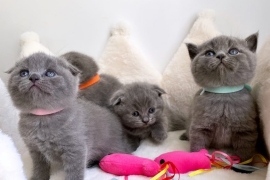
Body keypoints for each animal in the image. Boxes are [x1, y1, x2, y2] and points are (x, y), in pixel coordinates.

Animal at [7, 52, 132, 180]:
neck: (42, 118)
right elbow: (40, 167)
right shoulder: (35, 150)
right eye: (24, 73)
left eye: (50, 73)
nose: (33, 77)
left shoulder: (75, 150)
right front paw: (38, 178)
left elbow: (74, 172)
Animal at [181, 33, 260, 161]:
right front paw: (198, 158)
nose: (221, 55)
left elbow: (244, 151)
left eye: (233, 51)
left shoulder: (245, 130)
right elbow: (198, 144)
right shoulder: (200, 126)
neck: (223, 93)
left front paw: (244, 164)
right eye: (209, 53)